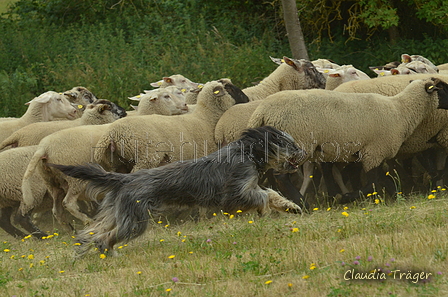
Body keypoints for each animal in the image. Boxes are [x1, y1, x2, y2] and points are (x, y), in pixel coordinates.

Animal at [50, 125, 306, 254]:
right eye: (291, 144)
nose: (303, 152)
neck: (247, 154)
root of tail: (124, 179)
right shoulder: (234, 192)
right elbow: (262, 195)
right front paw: (266, 210)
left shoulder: (247, 186)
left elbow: (271, 194)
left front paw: (290, 207)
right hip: (134, 221)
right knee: (105, 237)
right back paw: (108, 253)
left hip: (118, 213)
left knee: (92, 232)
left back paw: (85, 248)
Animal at [247, 77, 448, 200]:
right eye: (443, 89)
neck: (400, 110)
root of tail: (262, 110)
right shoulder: (374, 152)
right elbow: (371, 184)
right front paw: (346, 198)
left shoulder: (371, 154)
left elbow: (383, 180)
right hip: (299, 144)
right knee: (281, 176)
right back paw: (301, 203)